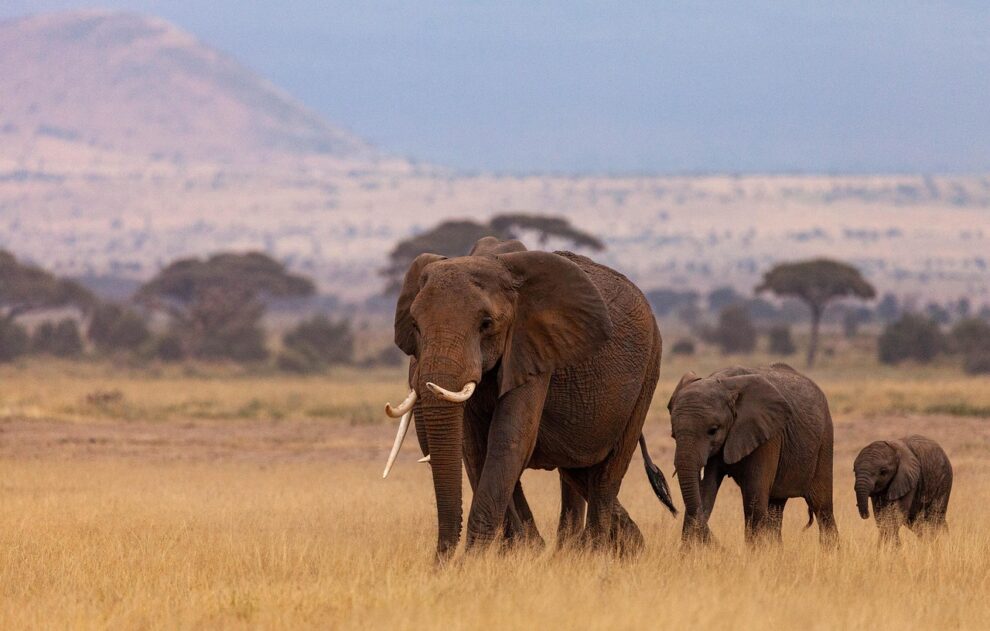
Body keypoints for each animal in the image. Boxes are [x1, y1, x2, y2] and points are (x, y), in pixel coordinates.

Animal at [380, 239, 676, 560]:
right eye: (415, 326)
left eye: (486, 324)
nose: (440, 562)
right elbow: (475, 448)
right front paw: (517, 552)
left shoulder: (534, 349)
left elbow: (509, 440)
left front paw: (475, 560)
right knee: (576, 469)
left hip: (649, 370)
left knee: (606, 475)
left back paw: (594, 554)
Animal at [668, 366, 836, 548]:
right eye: (673, 434)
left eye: (713, 430)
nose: (722, 547)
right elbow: (705, 493)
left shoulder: (768, 435)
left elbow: (753, 498)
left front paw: (756, 553)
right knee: (776, 508)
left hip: (825, 440)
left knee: (822, 506)